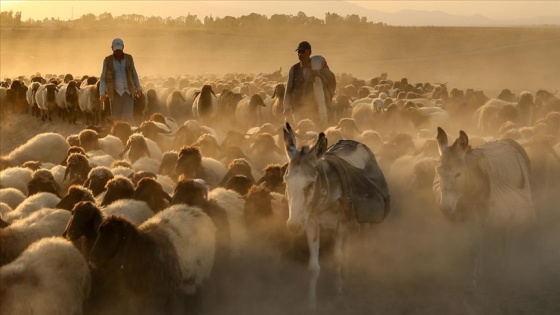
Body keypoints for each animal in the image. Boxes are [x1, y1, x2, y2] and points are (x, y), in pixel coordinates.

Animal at [89, 205, 217, 314]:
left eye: (114, 235)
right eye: (99, 233)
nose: (93, 259)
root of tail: (196, 209)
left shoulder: (169, 292)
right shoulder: (141, 294)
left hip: (199, 274)